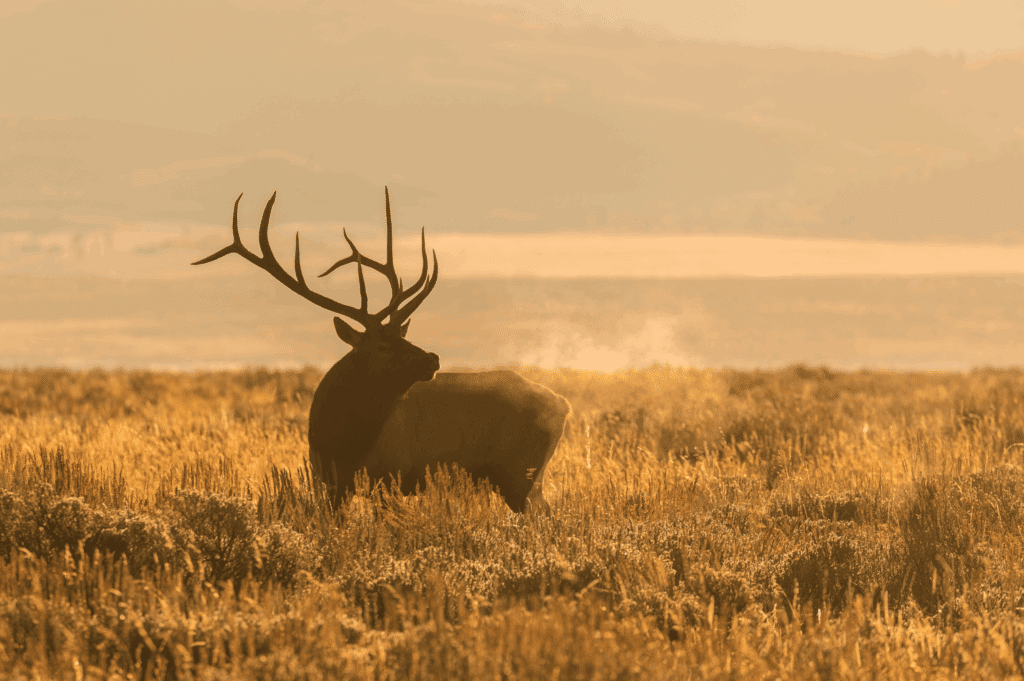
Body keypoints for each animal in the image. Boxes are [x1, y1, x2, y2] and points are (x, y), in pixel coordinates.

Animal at [193, 188, 571, 512]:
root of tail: (562, 404)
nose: (432, 358)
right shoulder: (328, 482)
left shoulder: (390, 477)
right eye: (382, 345)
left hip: (521, 472)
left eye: (401, 337)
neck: (341, 441)